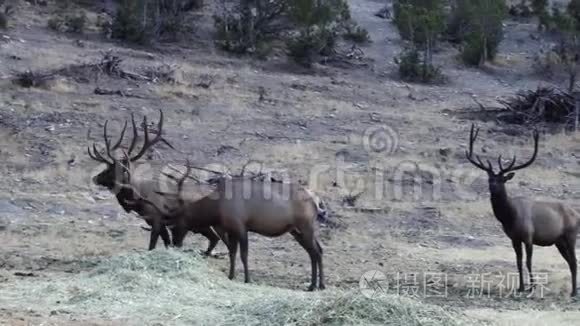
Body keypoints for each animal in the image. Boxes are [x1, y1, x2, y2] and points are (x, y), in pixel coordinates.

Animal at [87, 110, 225, 255]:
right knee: (214, 238)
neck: (138, 198)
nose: (95, 178)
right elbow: (166, 243)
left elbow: (152, 244)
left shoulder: (157, 219)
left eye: (110, 170)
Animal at [466, 123, 580, 296]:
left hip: (570, 235)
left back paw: (574, 292)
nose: (493, 187)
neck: (509, 217)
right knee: (570, 261)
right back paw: (573, 290)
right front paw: (520, 287)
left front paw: (532, 287)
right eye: (490, 179)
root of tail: (577, 214)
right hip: (559, 241)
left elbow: (528, 261)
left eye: (502, 180)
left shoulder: (528, 236)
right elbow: (518, 262)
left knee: (574, 261)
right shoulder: (514, 238)